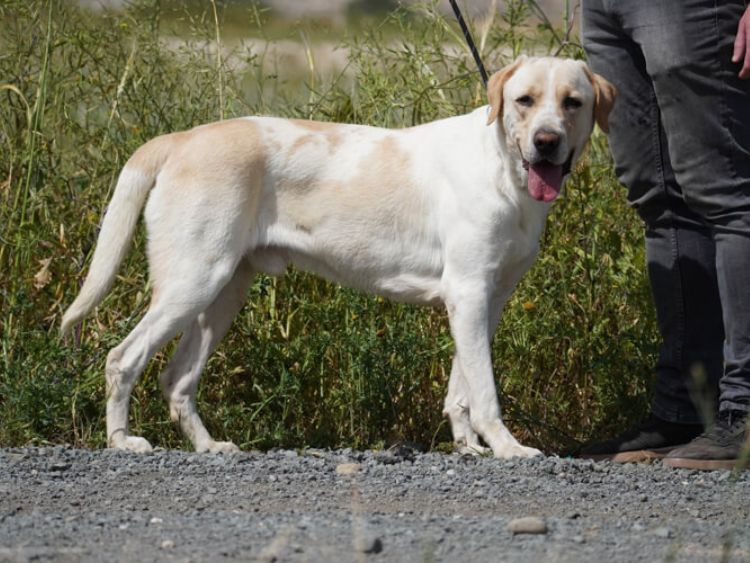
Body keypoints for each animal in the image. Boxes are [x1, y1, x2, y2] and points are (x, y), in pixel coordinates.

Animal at [63, 56, 616, 458]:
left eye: (573, 102)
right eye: (524, 101)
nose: (547, 142)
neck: (503, 169)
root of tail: (180, 139)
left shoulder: (486, 300)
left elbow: (462, 387)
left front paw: (469, 448)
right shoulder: (469, 293)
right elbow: (485, 392)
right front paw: (507, 448)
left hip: (222, 294)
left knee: (177, 380)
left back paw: (210, 446)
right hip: (192, 281)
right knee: (122, 359)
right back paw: (122, 442)